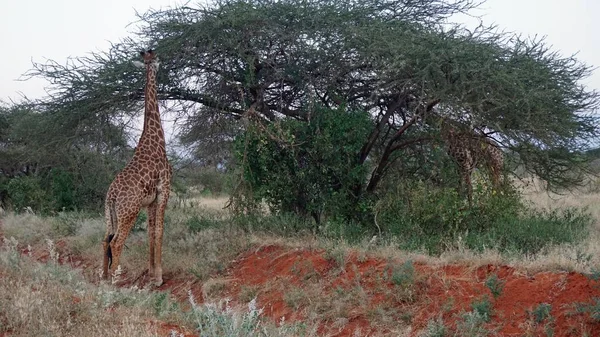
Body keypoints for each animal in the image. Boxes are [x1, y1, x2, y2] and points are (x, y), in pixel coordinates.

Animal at [102, 49, 172, 286]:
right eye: (156, 60)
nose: (163, 65)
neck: (155, 139)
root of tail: (111, 195)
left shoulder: (150, 200)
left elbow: (150, 232)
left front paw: (151, 274)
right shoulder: (164, 189)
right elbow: (159, 231)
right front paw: (158, 278)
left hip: (110, 214)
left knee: (105, 240)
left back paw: (103, 276)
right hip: (129, 212)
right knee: (116, 242)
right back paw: (115, 279)